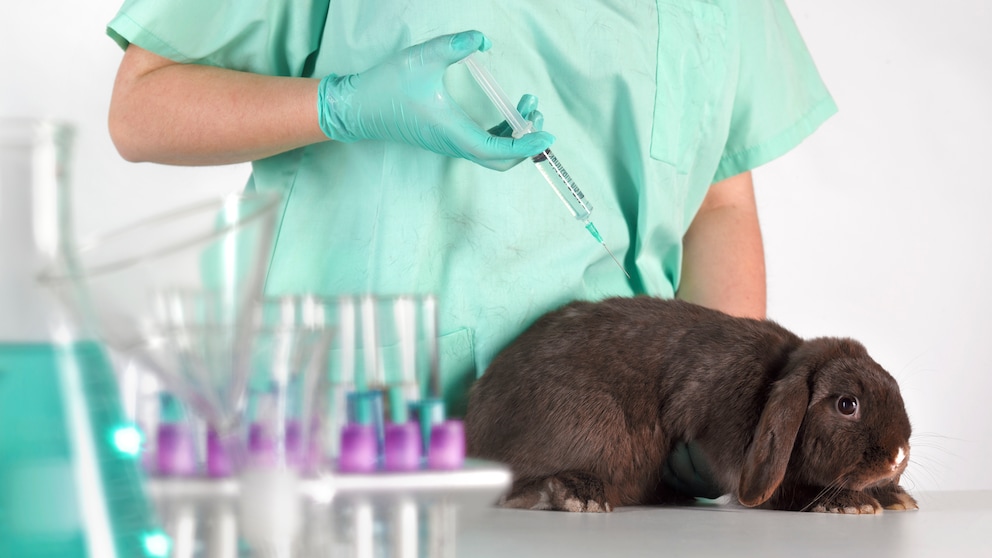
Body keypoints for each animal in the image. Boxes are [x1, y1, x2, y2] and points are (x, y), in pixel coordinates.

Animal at [464, 298, 916, 516]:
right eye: (847, 404)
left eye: (895, 384)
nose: (899, 455)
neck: (777, 375)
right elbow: (785, 492)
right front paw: (850, 503)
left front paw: (895, 497)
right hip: (593, 425)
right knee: (514, 489)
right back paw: (576, 492)